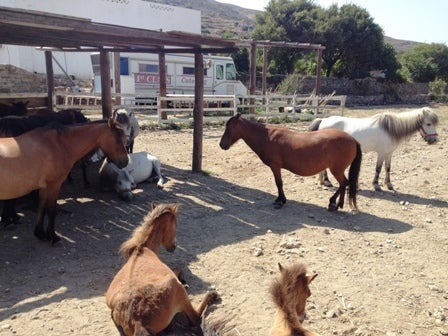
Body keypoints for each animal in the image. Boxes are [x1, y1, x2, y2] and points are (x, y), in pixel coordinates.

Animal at [0, 119, 128, 244]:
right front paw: (52, 237)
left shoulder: (44, 187)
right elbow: (51, 210)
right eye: (117, 139)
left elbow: (42, 207)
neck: (58, 145)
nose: (125, 161)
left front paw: (40, 233)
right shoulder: (54, 185)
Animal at [105, 202, 217, 336]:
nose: (174, 246)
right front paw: (185, 282)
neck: (143, 249)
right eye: (175, 224)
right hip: (175, 287)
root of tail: (137, 320)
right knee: (194, 317)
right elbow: (179, 268)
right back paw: (211, 295)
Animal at [219, 114, 362, 211]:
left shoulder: (275, 166)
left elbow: (279, 183)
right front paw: (281, 200)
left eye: (229, 128)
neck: (266, 137)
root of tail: (353, 139)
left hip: (336, 170)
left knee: (344, 183)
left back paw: (333, 203)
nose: (221, 145)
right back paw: (338, 204)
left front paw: (280, 201)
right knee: (344, 184)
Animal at [308, 107, 438, 192]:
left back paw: (324, 182)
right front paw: (376, 185)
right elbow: (378, 168)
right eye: (428, 124)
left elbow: (388, 168)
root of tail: (323, 120)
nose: (435, 140)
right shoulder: (381, 153)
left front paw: (389, 185)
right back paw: (327, 181)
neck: (390, 129)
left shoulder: (389, 153)